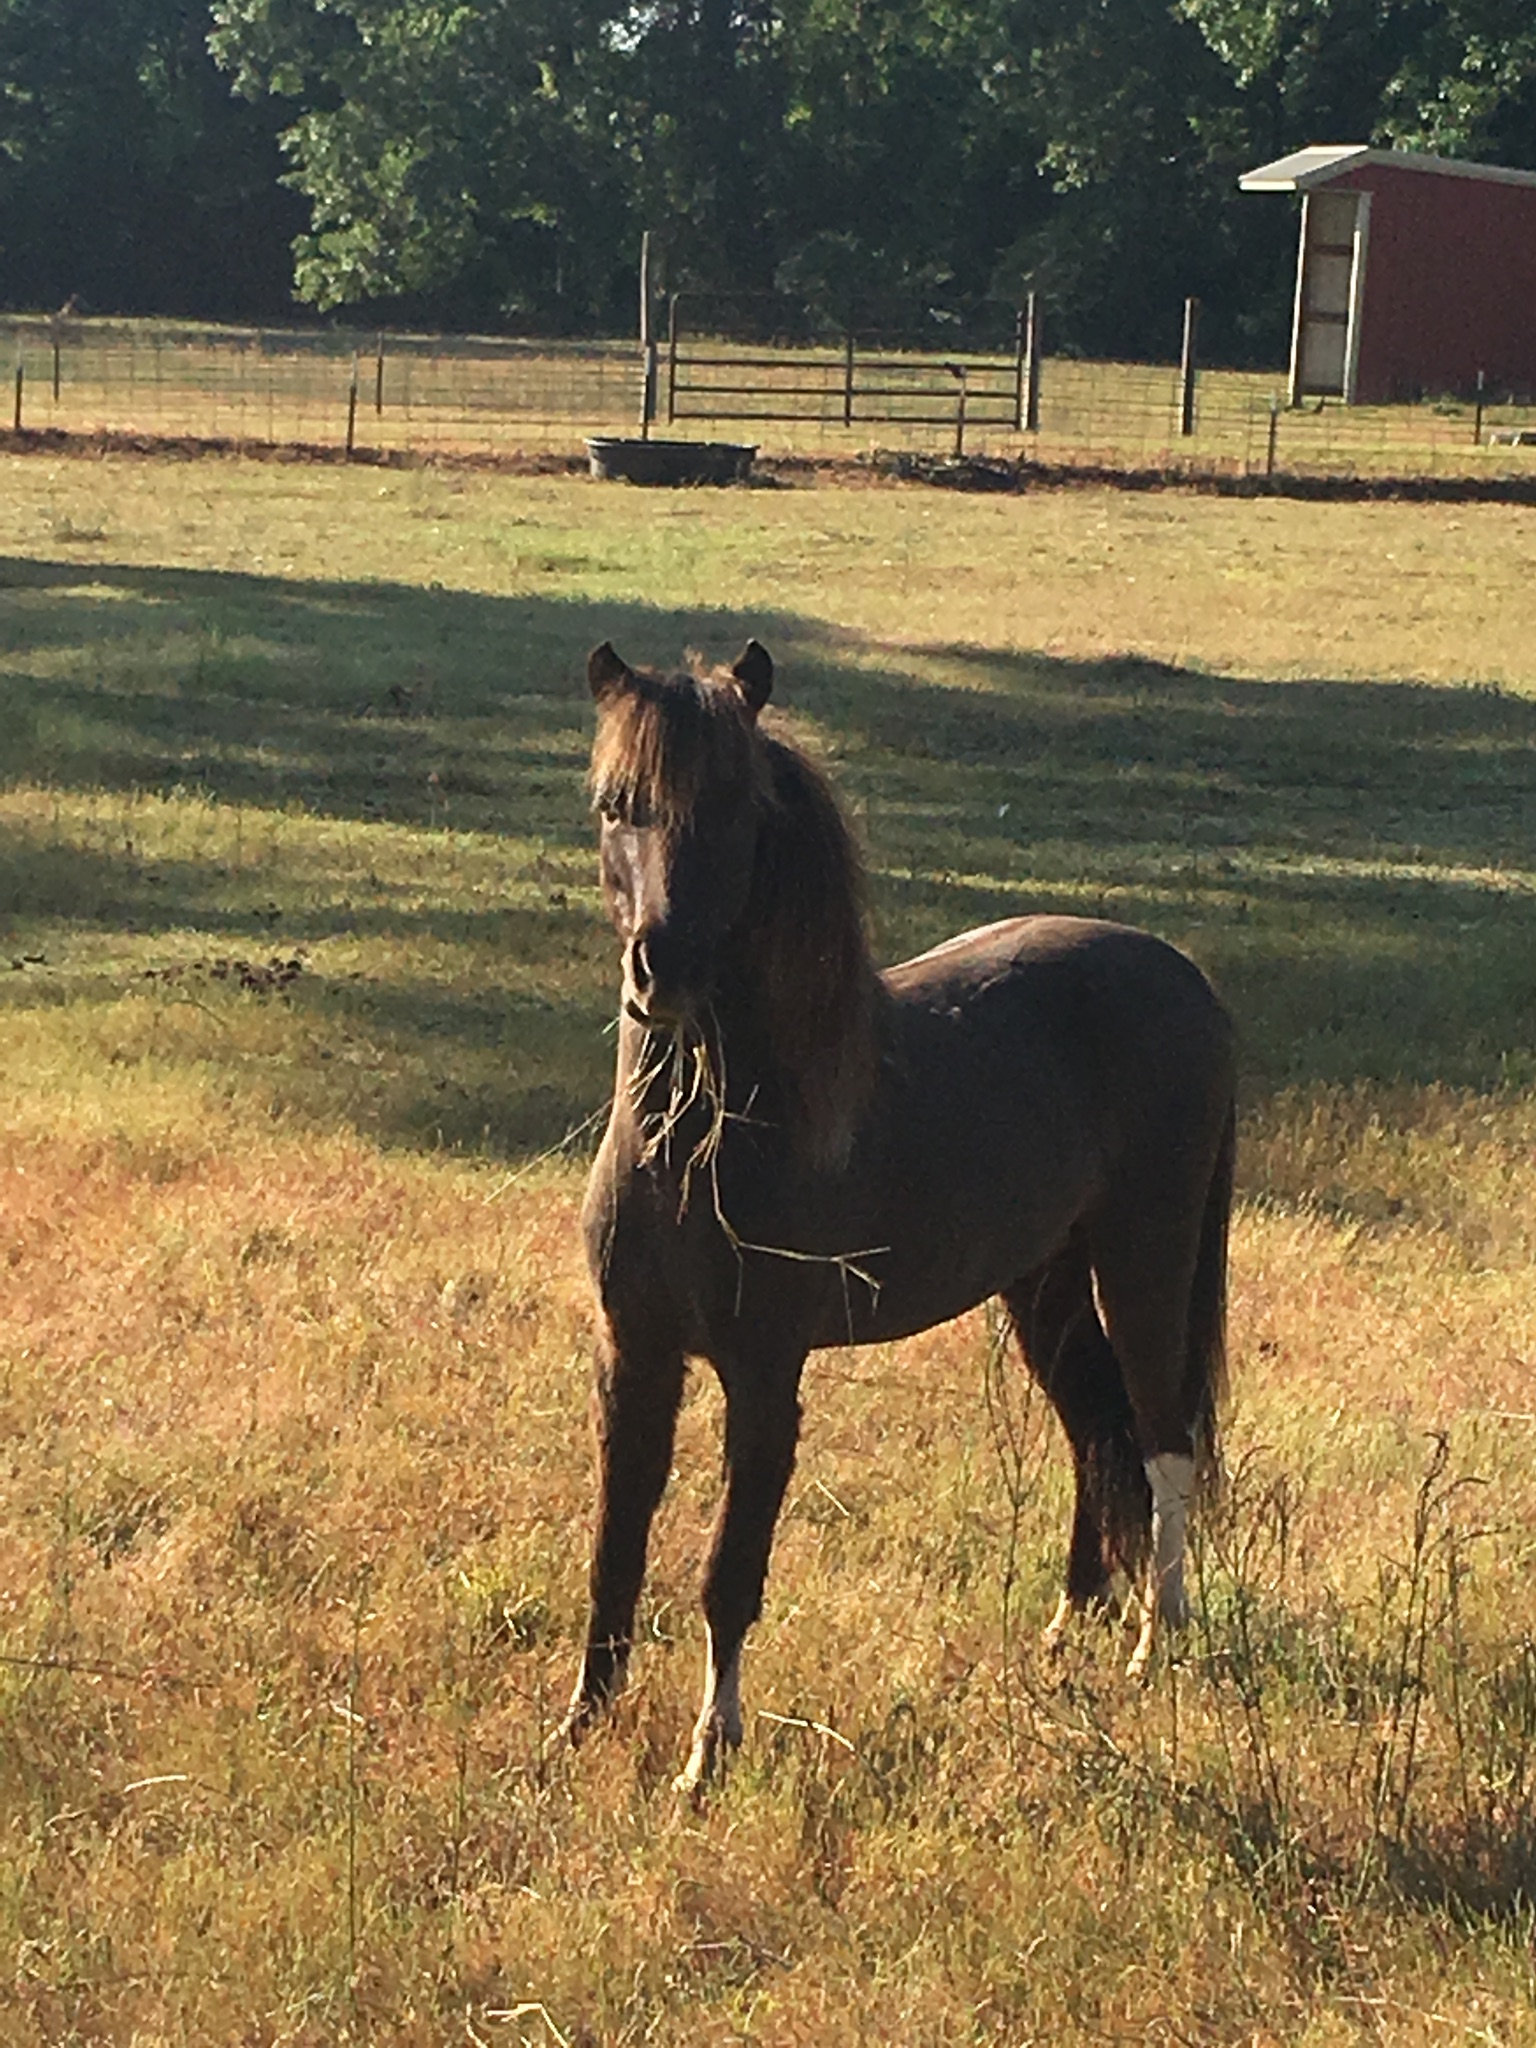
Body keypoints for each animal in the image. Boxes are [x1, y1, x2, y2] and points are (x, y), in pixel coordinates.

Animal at [564, 638, 1236, 1794]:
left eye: (738, 804)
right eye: (618, 805)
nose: (662, 970)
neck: (699, 1153)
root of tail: (1182, 974)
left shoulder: (764, 1376)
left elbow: (727, 1570)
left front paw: (708, 1757)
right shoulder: (635, 1356)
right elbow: (617, 1547)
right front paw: (575, 1730)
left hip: (1146, 1263)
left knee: (1161, 1434)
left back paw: (1155, 1647)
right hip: (1045, 1286)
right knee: (1096, 1431)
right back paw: (1070, 1627)